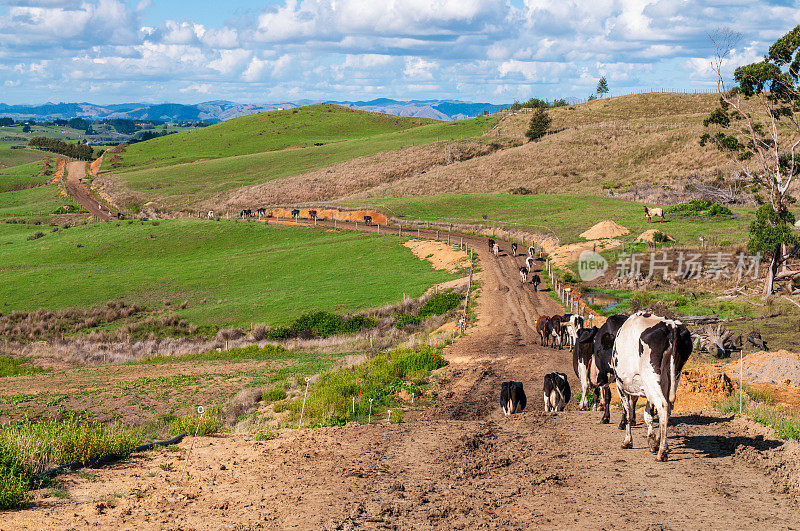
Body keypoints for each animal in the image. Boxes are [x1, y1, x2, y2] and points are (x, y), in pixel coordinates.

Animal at [612, 312, 692, 462]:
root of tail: (671, 325)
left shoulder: (621, 386)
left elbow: (628, 413)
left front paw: (628, 441)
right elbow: (648, 414)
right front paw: (652, 440)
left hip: (651, 376)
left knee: (663, 405)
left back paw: (662, 451)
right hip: (671, 378)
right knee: (668, 409)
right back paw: (659, 443)